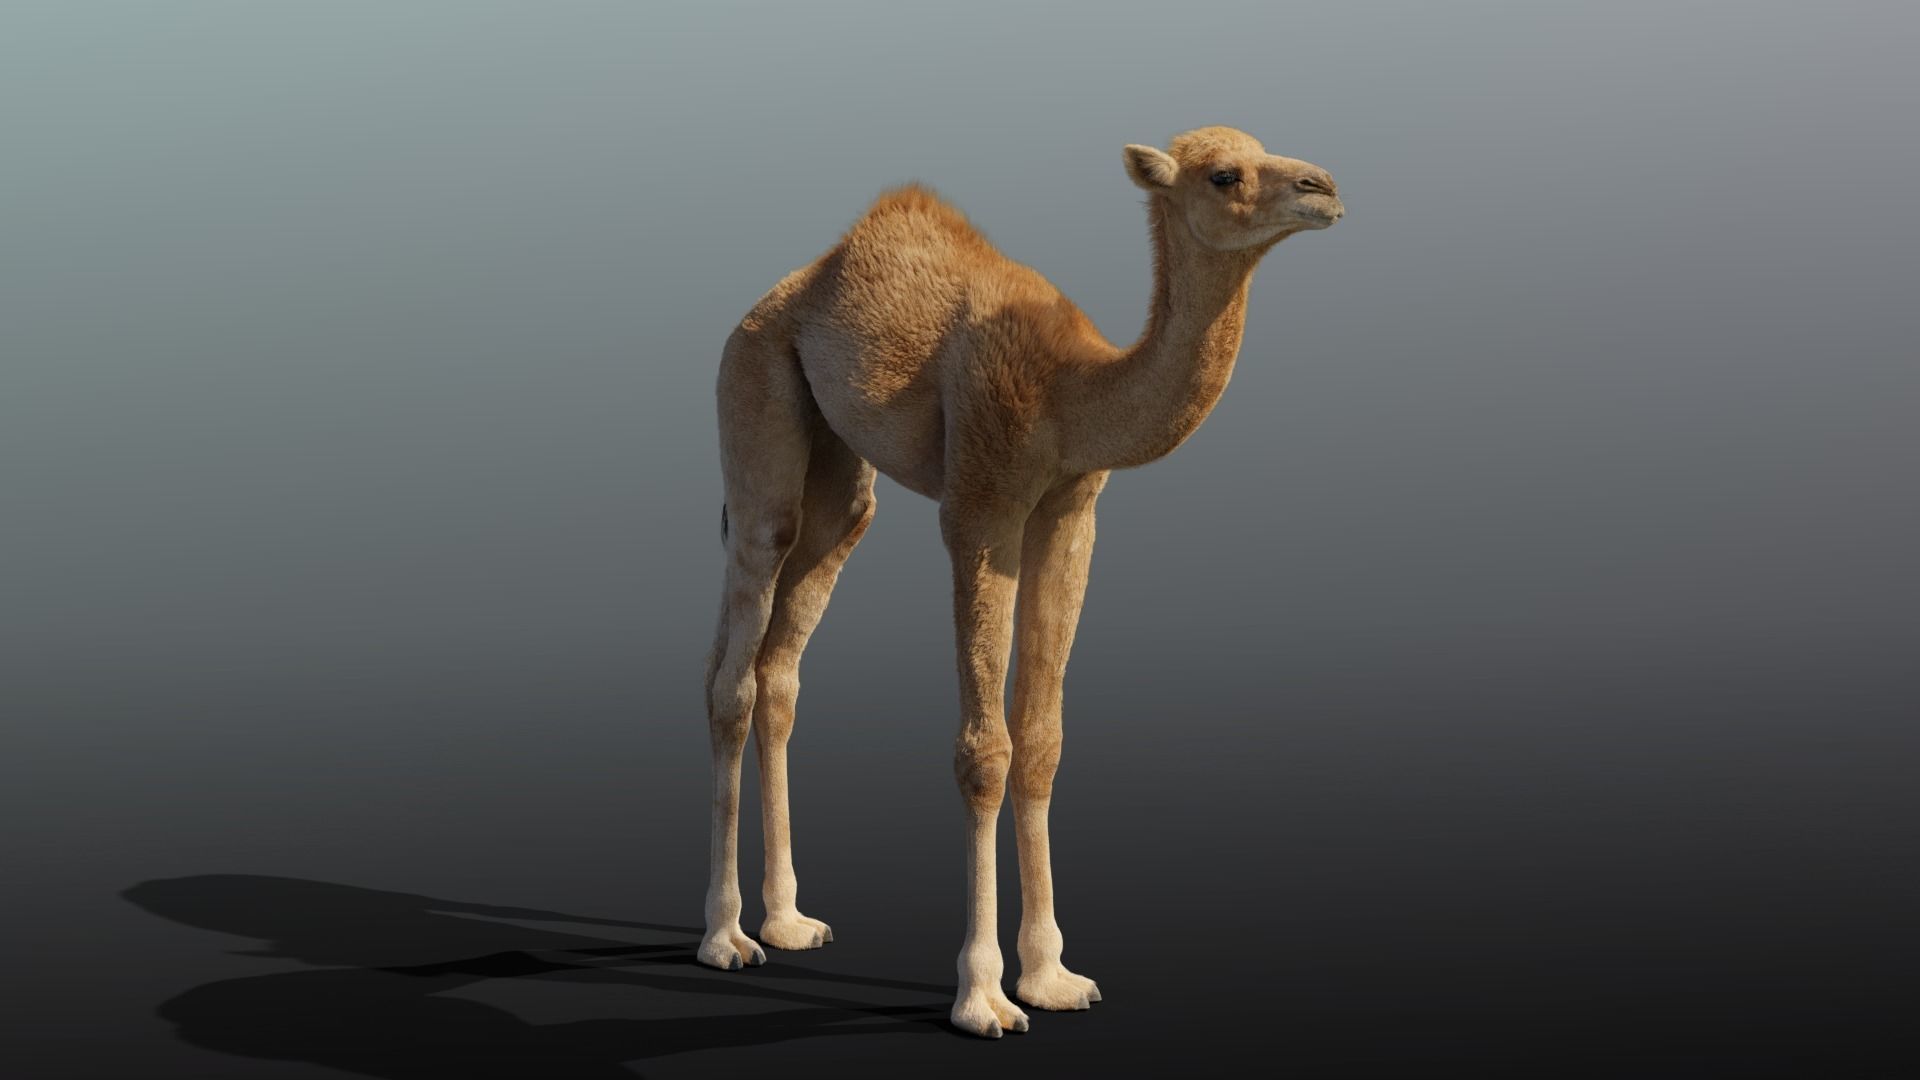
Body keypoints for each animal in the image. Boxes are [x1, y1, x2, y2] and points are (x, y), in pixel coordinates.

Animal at [697, 126, 1343, 1037]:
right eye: (1225, 174)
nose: (1324, 190)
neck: (1073, 390)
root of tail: (781, 292)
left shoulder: (1071, 511)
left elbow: (1041, 742)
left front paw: (1051, 975)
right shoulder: (982, 507)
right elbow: (985, 751)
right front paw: (983, 997)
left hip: (840, 480)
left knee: (780, 663)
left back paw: (788, 921)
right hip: (755, 384)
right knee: (737, 661)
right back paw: (724, 937)